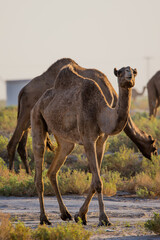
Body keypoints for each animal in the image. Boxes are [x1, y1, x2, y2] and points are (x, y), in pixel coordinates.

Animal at [6, 58, 157, 174]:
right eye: (154, 144)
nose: (155, 156)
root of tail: (22, 90)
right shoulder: (101, 124)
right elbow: (97, 154)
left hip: (28, 118)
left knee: (22, 145)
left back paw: (28, 173)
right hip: (27, 113)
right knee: (12, 143)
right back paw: (11, 172)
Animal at [31, 64, 136, 226]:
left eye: (134, 71)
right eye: (120, 72)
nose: (129, 77)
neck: (100, 112)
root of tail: (39, 101)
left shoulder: (101, 142)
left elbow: (94, 181)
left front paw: (80, 215)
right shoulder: (88, 140)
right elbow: (98, 181)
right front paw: (104, 219)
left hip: (65, 140)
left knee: (53, 170)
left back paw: (65, 214)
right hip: (36, 117)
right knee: (39, 166)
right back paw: (44, 218)